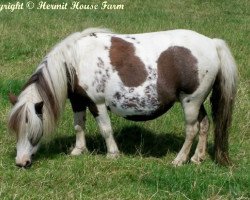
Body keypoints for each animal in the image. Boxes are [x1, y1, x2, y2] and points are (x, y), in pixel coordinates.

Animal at [7, 27, 237, 167]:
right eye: (16, 131)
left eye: (33, 130)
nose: (21, 162)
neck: (77, 59)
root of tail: (212, 43)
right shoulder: (78, 101)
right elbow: (79, 126)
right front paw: (78, 150)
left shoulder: (97, 102)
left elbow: (105, 129)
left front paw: (112, 154)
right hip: (197, 102)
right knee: (205, 124)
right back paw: (197, 158)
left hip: (191, 101)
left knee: (192, 130)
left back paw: (179, 160)